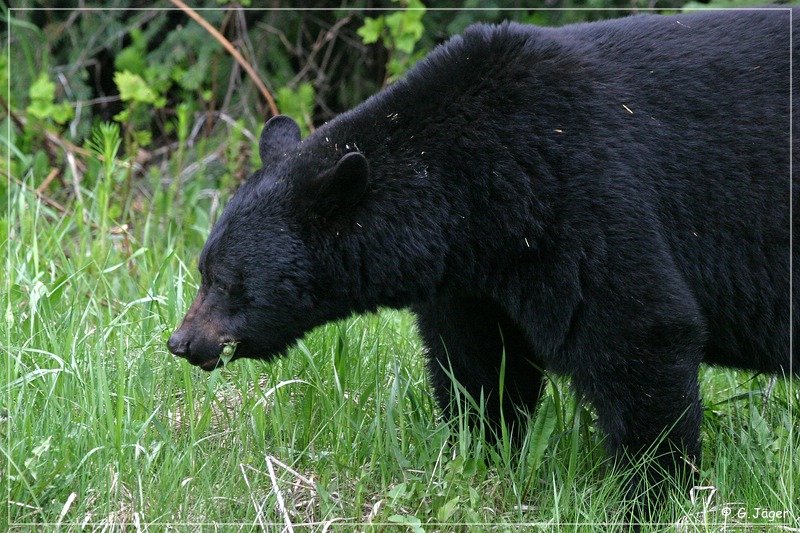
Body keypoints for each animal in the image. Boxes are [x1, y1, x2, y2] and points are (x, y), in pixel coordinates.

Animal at [167, 9, 792, 502]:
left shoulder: (584, 193)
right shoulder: (474, 274)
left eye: (227, 281)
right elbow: (478, 361)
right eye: (203, 269)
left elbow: (641, 329)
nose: (182, 342)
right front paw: (482, 452)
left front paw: (652, 492)